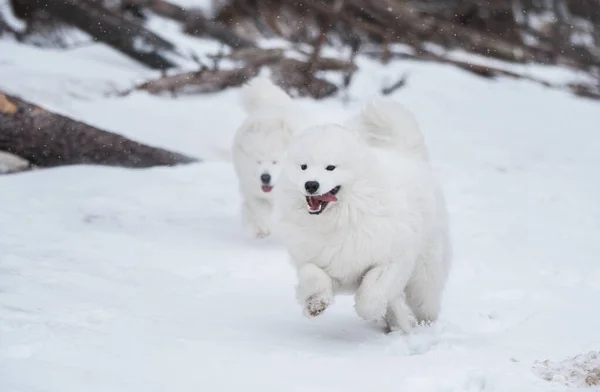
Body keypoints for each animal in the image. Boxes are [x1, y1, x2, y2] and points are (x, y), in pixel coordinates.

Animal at [231, 75, 296, 237]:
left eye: (275, 161)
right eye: (258, 161)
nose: (265, 177)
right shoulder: (254, 192)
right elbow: (258, 211)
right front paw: (262, 229)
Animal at [276, 99, 450, 332]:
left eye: (330, 167)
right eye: (303, 166)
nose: (311, 184)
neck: (343, 218)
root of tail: (406, 153)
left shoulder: (392, 259)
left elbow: (372, 290)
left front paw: (372, 311)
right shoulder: (319, 260)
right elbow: (311, 273)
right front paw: (315, 303)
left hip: (424, 277)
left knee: (426, 304)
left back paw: (422, 327)